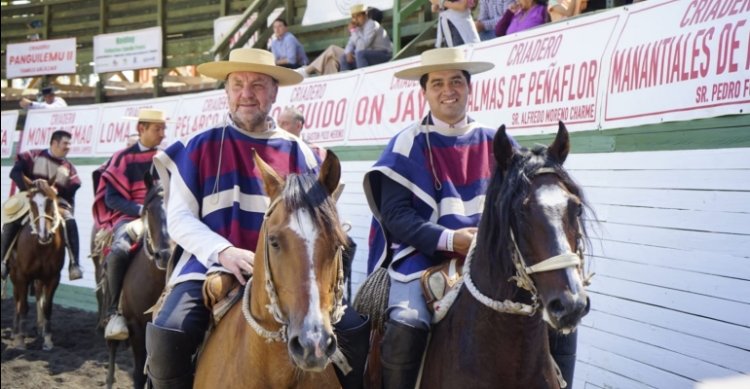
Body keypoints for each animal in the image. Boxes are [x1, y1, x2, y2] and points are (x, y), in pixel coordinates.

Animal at [7, 177, 67, 350]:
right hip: (13, 274)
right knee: (17, 298)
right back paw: (15, 331)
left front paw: (47, 339)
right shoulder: (22, 276)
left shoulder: (53, 277)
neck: (40, 247)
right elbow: (24, 305)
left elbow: (47, 307)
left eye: (51, 200)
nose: (44, 235)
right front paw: (20, 340)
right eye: (32, 202)